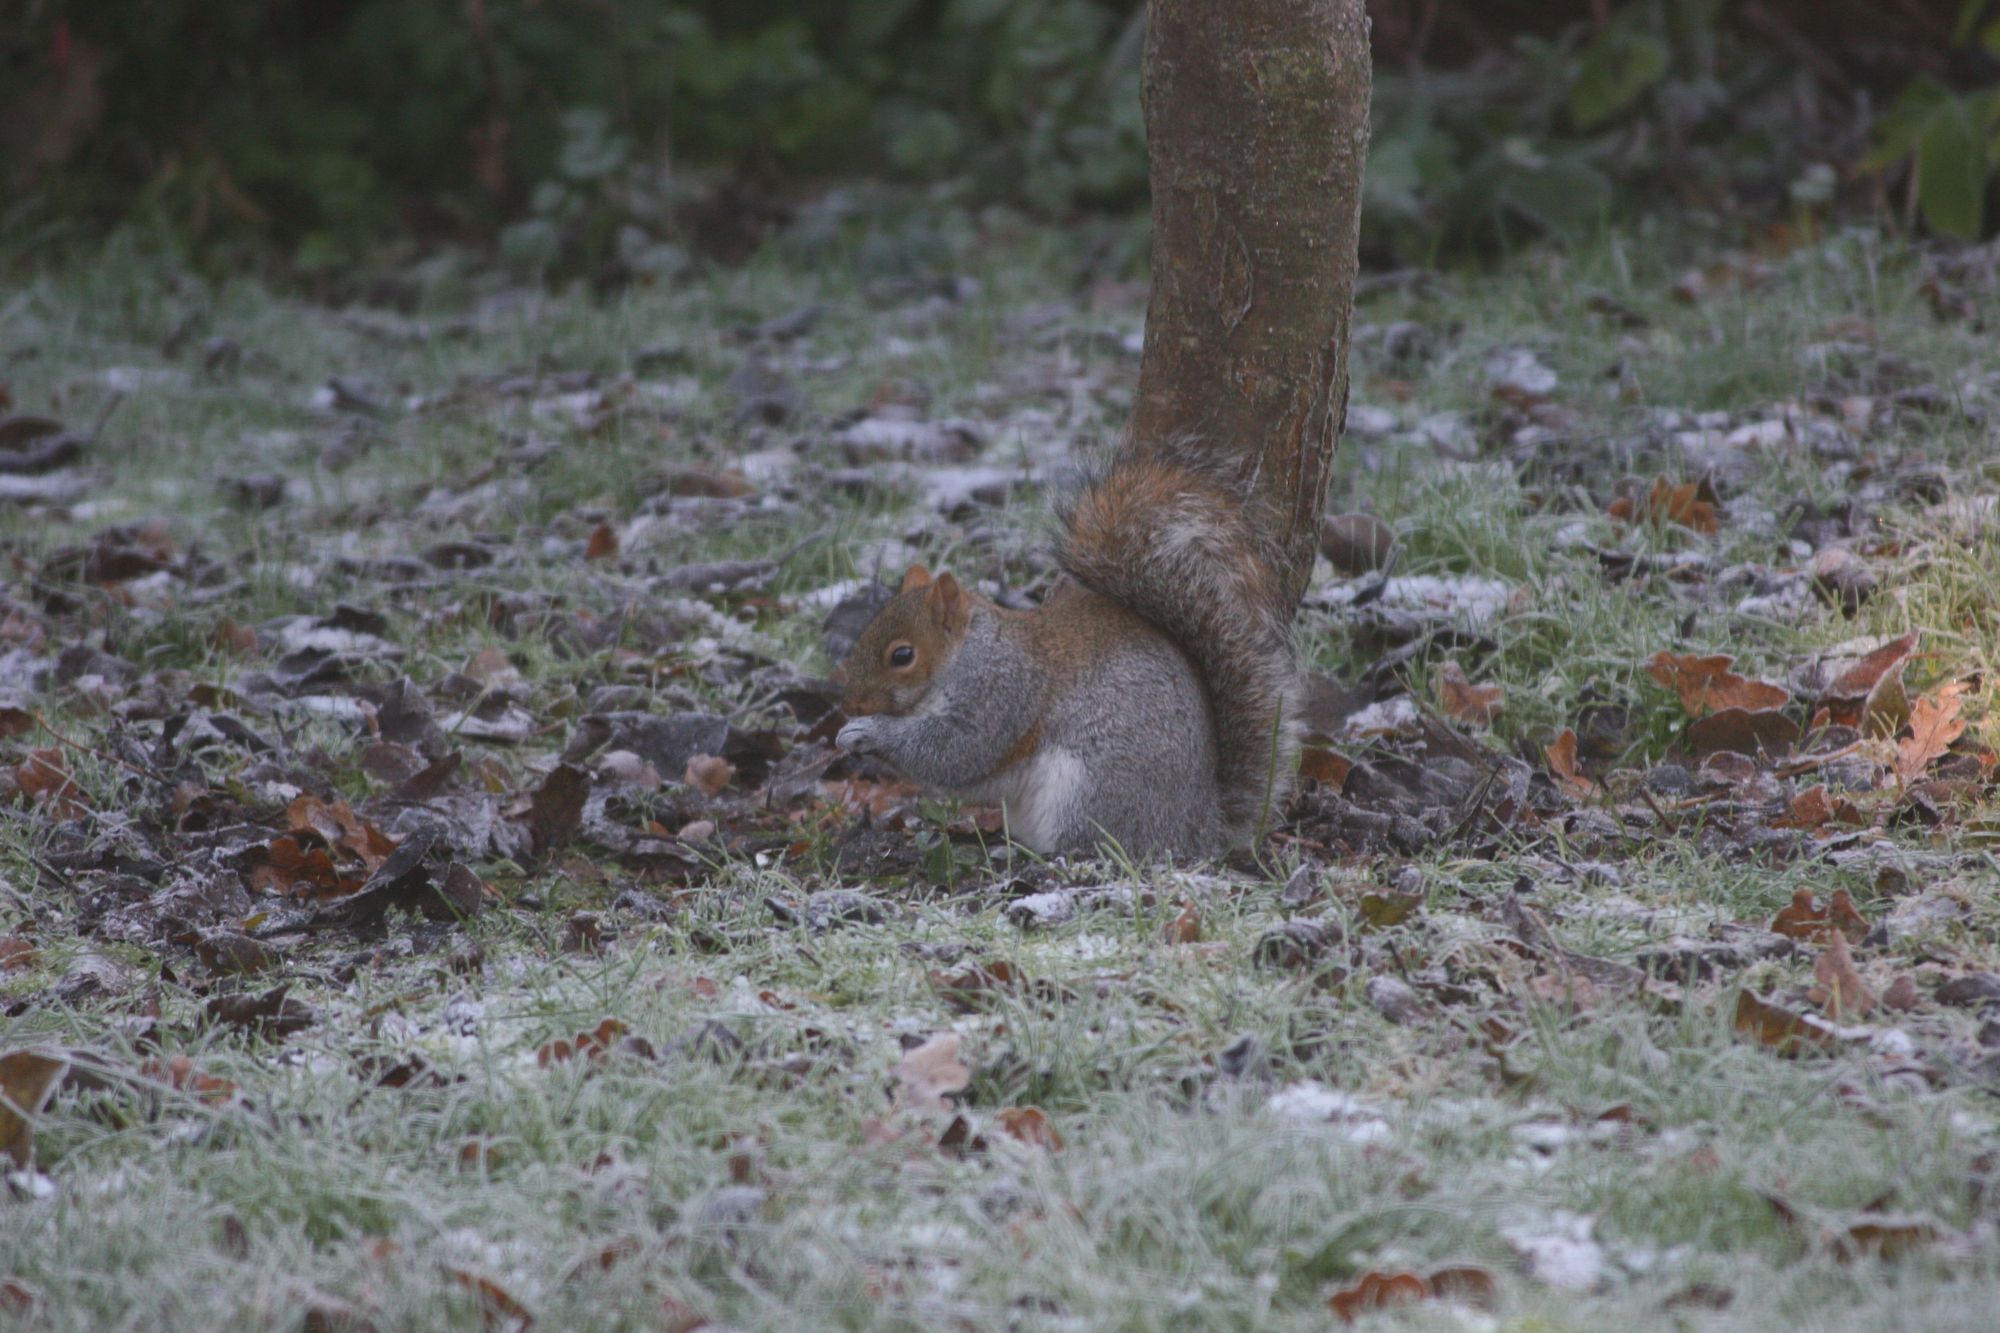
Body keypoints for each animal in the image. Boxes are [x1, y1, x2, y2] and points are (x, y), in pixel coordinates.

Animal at [834, 447, 1300, 859]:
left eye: (902, 656)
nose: (849, 703)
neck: (964, 657)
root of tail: (1198, 828)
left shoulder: (1002, 692)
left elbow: (956, 751)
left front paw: (868, 732)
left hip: (1089, 791)